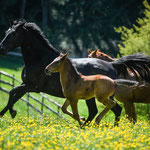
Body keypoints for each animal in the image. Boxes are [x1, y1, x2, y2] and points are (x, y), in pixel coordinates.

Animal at [0, 20, 150, 125]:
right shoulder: (25, 84)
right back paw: (87, 124)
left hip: (101, 97)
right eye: (6, 31)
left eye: (13, 34)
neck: (40, 59)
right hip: (93, 97)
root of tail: (112, 65)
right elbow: (13, 94)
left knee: (114, 109)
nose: (2, 48)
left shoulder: (34, 87)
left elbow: (12, 92)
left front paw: (9, 113)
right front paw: (10, 113)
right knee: (98, 111)